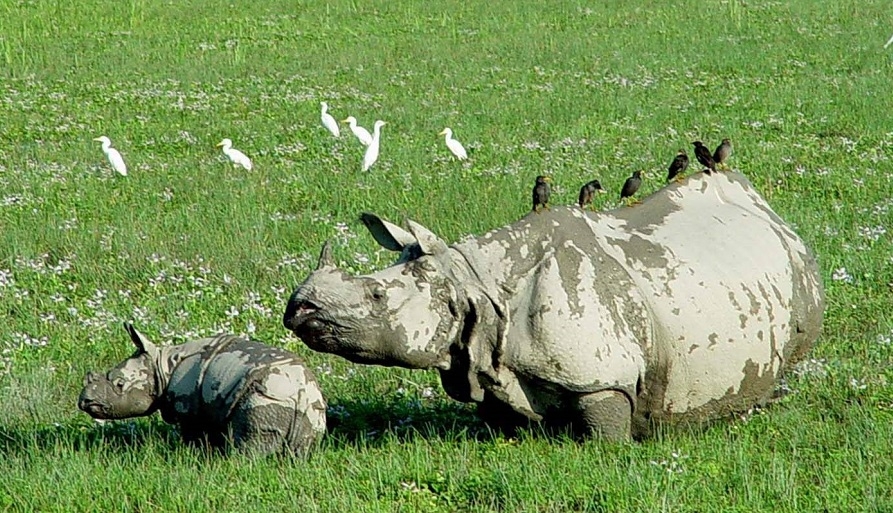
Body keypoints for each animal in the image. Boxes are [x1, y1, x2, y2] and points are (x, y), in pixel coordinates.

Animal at [78, 323, 327, 456]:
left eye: (119, 384)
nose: (84, 402)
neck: (161, 364)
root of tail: (301, 394)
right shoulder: (211, 407)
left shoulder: (189, 407)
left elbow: (194, 435)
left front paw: (192, 455)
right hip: (309, 410)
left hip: (267, 397)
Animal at [283, 171, 824, 440]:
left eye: (377, 296)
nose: (298, 309)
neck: (473, 283)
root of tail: (763, 202)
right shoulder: (484, 354)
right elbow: (501, 415)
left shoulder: (603, 370)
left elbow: (605, 426)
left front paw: (610, 448)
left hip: (795, 269)